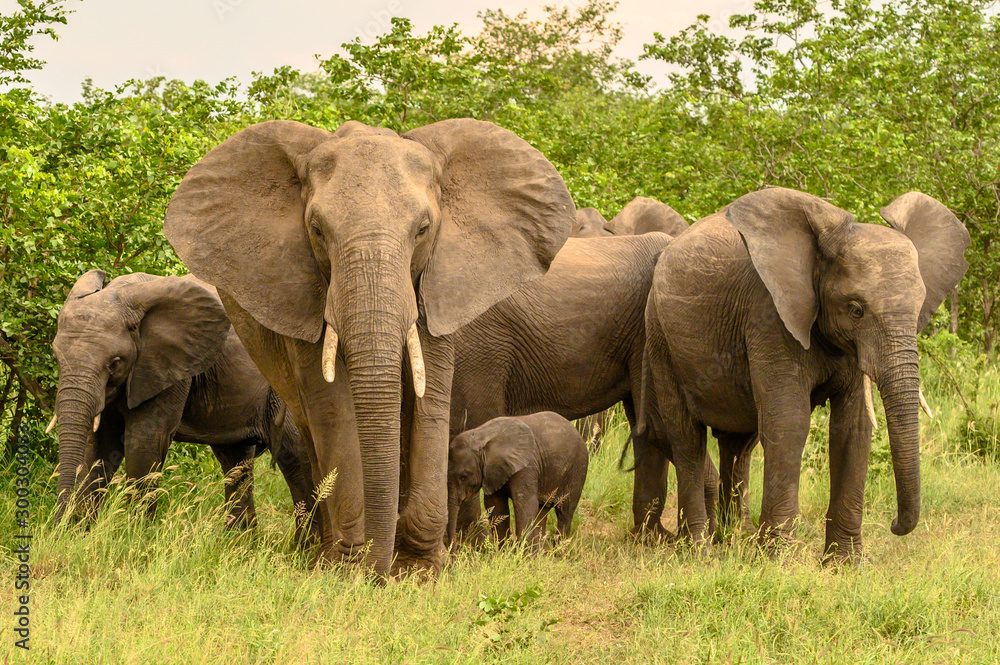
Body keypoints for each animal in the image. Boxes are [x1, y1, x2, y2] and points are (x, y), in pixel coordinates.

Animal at [51, 270, 313, 534]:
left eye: (115, 363)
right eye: (56, 358)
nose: (57, 526)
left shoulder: (169, 368)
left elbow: (143, 444)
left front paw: (133, 536)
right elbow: (99, 448)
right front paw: (79, 533)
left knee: (295, 458)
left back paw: (304, 545)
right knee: (236, 462)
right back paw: (240, 540)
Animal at [447, 412, 588, 547]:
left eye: (463, 477)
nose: (453, 550)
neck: (481, 437)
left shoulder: (527, 467)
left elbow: (524, 505)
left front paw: (521, 553)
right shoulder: (492, 473)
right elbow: (496, 506)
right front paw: (503, 551)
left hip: (578, 467)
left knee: (564, 511)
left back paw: (558, 551)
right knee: (542, 512)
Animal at [638, 188, 969, 560]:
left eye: (920, 307)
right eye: (856, 309)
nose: (895, 524)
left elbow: (852, 429)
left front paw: (844, 563)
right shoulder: (768, 316)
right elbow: (789, 423)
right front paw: (776, 559)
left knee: (739, 443)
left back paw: (735, 538)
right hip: (660, 337)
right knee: (686, 437)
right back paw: (701, 550)